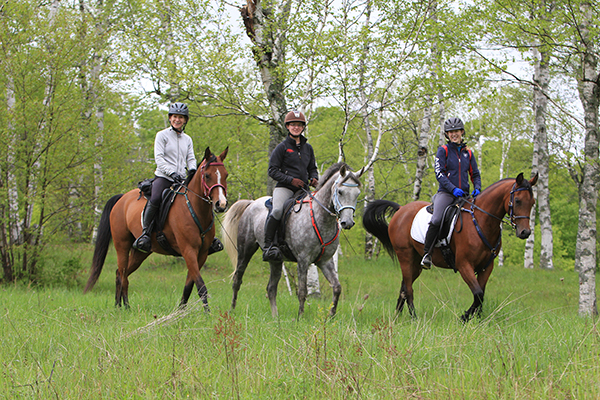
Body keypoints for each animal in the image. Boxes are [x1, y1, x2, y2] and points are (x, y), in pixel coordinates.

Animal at [82, 147, 227, 310]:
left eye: (226, 175)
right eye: (207, 175)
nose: (221, 204)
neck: (194, 208)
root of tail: (122, 199)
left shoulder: (201, 254)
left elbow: (189, 286)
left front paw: (180, 311)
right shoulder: (188, 251)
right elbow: (201, 286)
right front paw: (207, 313)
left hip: (140, 252)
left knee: (121, 274)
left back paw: (122, 306)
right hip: (122, 246)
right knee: (122, 274)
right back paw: (122, 307)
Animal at [220, 164, 360, 318]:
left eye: (357, 194)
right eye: (340, 191)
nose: (347, 223)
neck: (320, 217)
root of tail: (252, 203)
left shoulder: (325, 261)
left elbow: (337, 287)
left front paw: (331, 316)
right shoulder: (303, 260)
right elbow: (302, 291)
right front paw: (300, 317)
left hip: (275, 260)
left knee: (271, 288)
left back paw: (275, 316)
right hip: (245, 251)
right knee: (237, 280)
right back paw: (232, 311)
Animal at [364, 173, 536, 322]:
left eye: (533, 202)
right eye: (518, 200)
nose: (525, 232)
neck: (480, 222)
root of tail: (401, 209)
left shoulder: (486, 267)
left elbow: (481, 295)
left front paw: (475, 319)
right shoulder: (464, 265)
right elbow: (478, 294)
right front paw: (465, 317)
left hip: (415, 262)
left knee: (404, 287)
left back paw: (397, 317)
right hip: (405, 256)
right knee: (409, 289)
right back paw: (414, 318)